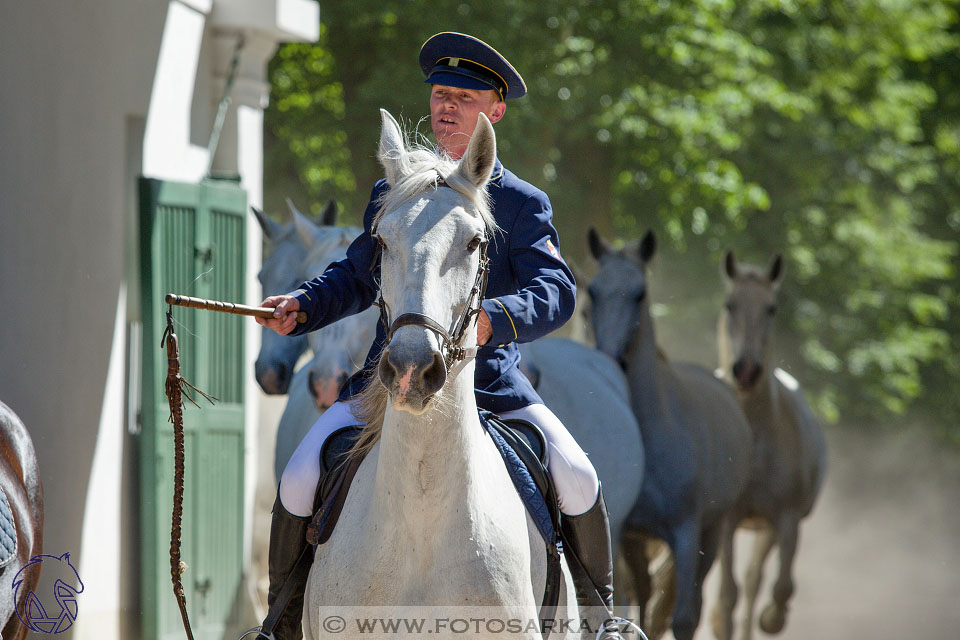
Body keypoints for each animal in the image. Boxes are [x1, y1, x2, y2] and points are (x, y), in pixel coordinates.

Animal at [584, 228, 756, 636]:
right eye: (594, 292)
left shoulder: (687, 532)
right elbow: (632, 605)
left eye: (640, 293)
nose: (610, 357)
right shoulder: (626, 533)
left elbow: (684, 618)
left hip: (714, 530)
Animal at [708, 251, 828, 640]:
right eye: (729, 304)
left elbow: (780, 587)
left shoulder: (786, 519)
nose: (746, 370)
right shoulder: (727, 520)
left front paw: (771, 619)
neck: (755, 439)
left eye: (771, 308)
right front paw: (719, 621)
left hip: (765, 529)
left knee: (754, 582)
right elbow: (727, 596)